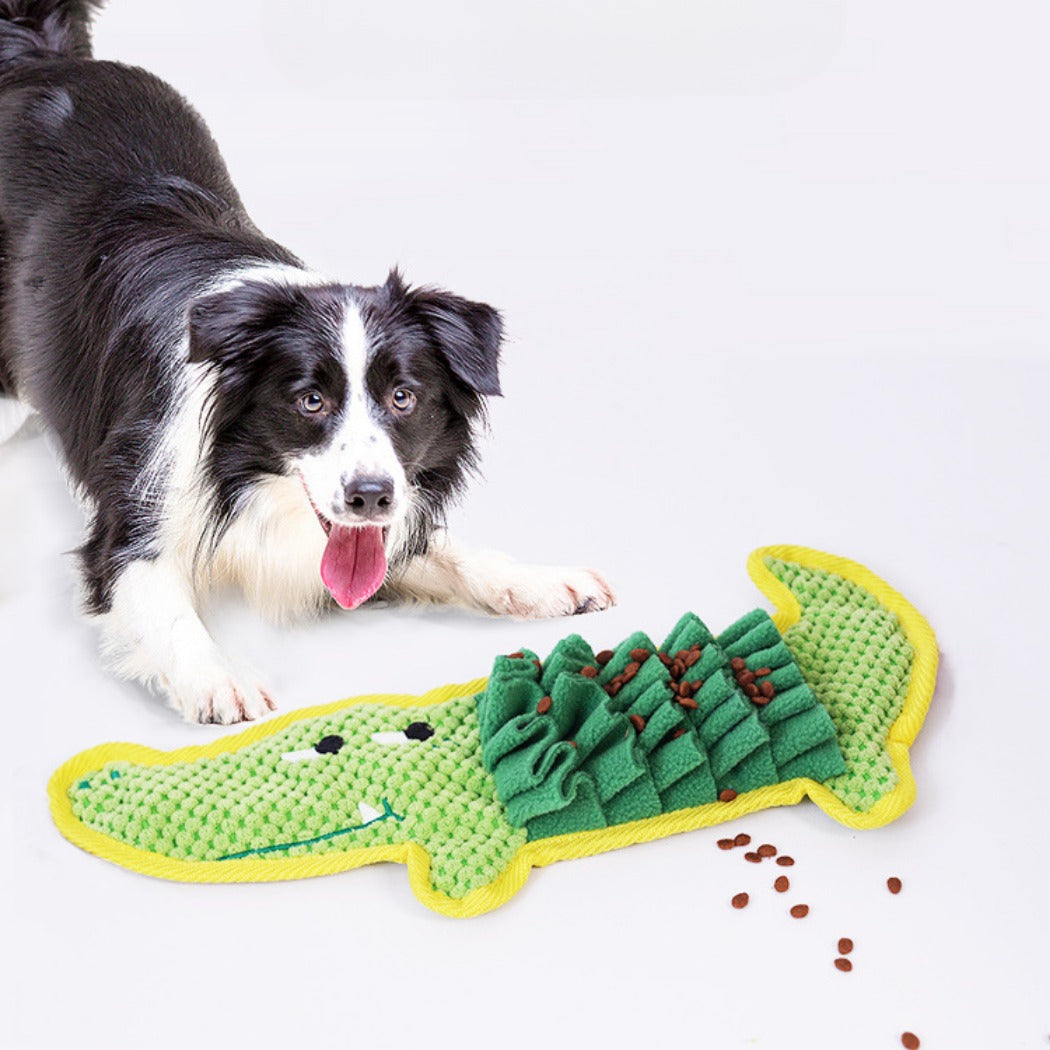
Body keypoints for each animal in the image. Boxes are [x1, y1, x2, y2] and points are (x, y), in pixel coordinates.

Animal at [0, 0, 613, 722]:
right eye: (309, 401)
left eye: (403, 397)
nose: (370, 496)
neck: (247, 481)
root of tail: (42, 56)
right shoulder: (132, 514)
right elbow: (161, 600)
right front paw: (219, 679)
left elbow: (447, 549)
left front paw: (542, 581)